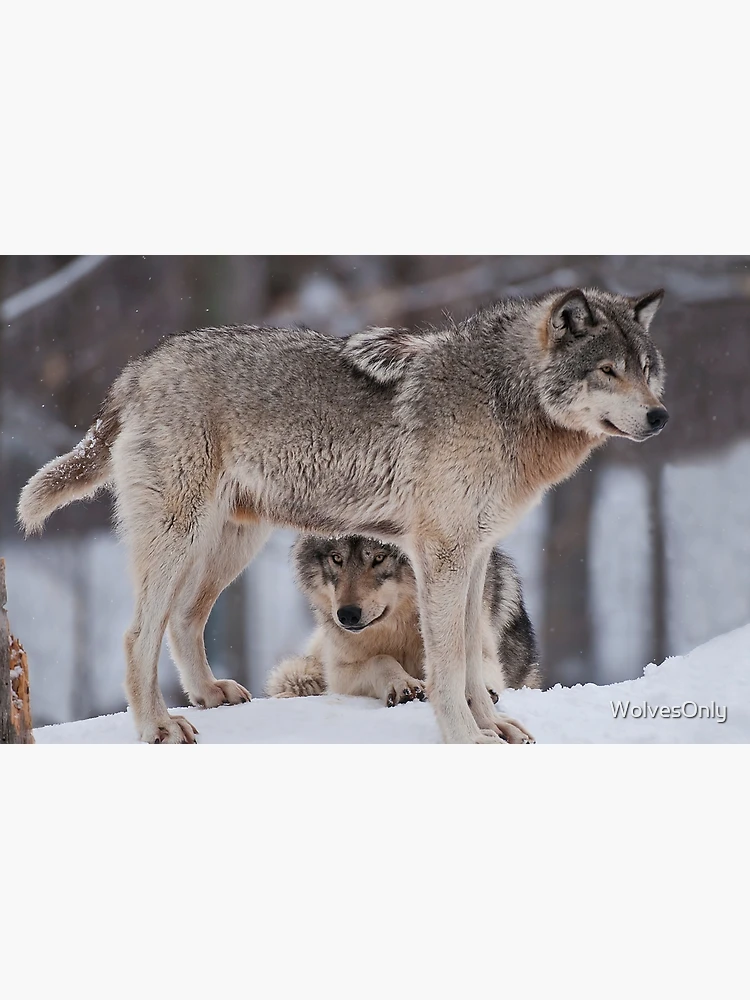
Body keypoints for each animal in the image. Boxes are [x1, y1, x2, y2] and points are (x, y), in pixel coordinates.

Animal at [265, 535, 540, 742]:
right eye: (336, 558)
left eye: (379, 557)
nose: (347, 615)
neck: (400, 628)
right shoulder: (339, 673)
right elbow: (381, 659)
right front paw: (402, 684)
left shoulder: (480, 646)